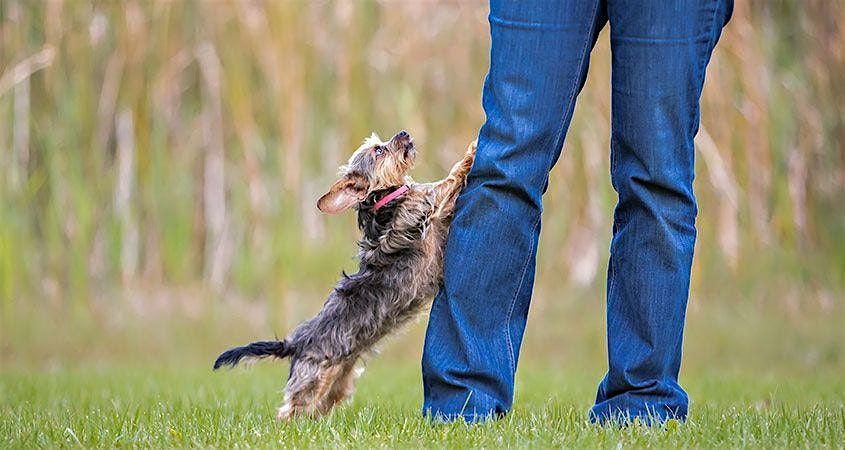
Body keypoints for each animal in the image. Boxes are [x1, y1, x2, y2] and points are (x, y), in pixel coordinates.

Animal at [213, 131, 474, 422]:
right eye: (379, 151)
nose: (403, 133)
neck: (385, 201)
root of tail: (295, 343)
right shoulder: (422, 206)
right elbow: (447, 179)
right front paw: (472, 151)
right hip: (311, 379)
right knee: (289, 410)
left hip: (338, 381)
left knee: (317, 407)